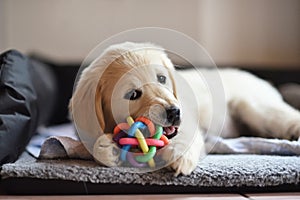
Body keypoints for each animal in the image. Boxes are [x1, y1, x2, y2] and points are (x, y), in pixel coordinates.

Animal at [70, 42, 300, 175]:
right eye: (132, 94)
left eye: (162, 78)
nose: (174, 112)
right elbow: (94, 144)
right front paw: (107, 148)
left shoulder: (188, 121)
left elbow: (186, 136)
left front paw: (178, 156)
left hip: (255, 107)